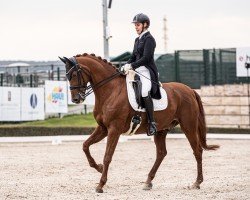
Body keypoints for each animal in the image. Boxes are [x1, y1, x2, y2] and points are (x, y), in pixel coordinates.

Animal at [59, 52, 220, 192]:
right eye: (66, 76)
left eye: (74, 74)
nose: (76, 99)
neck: (110, 91)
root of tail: (190, 90)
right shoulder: (103, 128)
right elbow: (85, 145)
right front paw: (98, 167)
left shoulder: (114, 129)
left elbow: (107, 156)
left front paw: (101, 184)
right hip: (161, 130)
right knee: (161, 153)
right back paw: (148, 182)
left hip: (188, 126)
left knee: (197, 150)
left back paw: (197, 182)